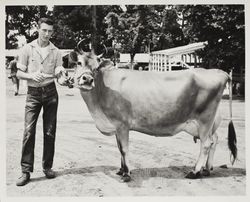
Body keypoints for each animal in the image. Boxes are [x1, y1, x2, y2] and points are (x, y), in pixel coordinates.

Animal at [68, 48, 236, 181]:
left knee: (206, 144)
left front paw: (127, 174)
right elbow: (119, 148)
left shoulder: (122, 124)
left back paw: (194, 172)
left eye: (96, 68)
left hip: (205, 119)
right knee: (214, 140)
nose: (87, 79)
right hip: (207, 123)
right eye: (79, 63)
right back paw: (206, 169)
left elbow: (124, 149)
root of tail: (218, 71)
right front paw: (121, 170)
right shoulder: (116, 127)